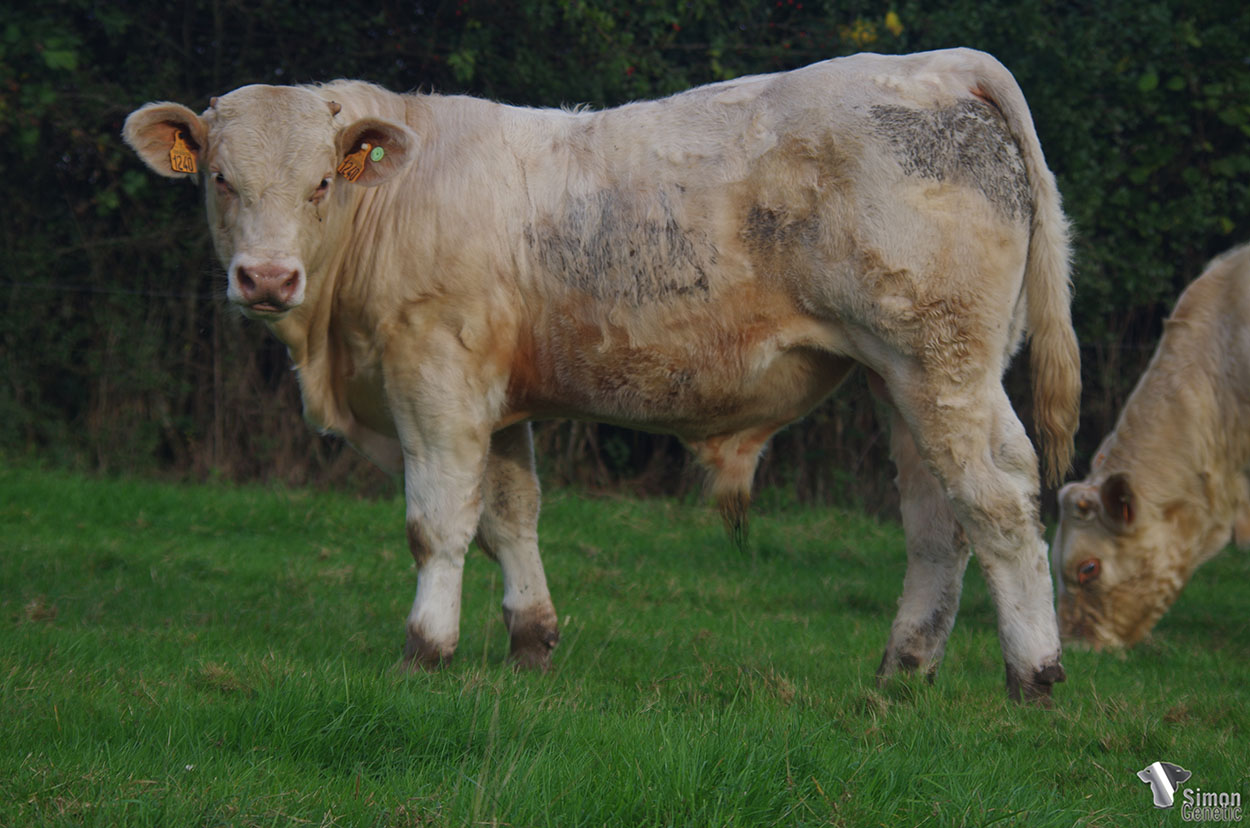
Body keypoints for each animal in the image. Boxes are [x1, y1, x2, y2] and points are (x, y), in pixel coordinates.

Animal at [123, 47, 1080, 701]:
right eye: (220, 179)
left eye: (322, 182)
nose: (266, 278)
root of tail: (934, 65)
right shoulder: (499, 404)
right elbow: (509, 516)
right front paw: (530, 641)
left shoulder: (435, 381)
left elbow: (439, 524)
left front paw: (425, 649)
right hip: (900, 379)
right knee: (936, 521)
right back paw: (902, 672)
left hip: (942, 364)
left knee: (999, 501)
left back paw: (1033, 673)